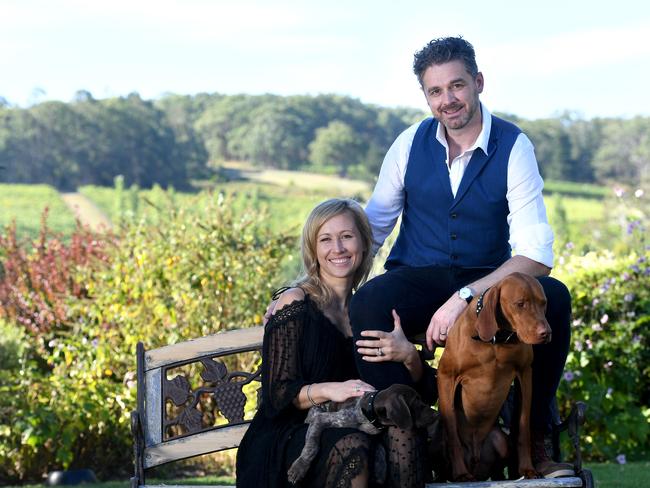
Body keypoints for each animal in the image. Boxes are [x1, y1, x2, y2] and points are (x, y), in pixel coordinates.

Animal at [286, 386, 432, 484]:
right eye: (417, 402)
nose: (435, 414)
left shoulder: (375, 437)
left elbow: (381, 450)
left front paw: (380, 469)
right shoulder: (321, 419)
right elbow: (312, 447)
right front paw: (299, 467)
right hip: (316, 412)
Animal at [432, 272, 548, 482]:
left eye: (543, 303)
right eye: (520, 304)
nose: (546, 333)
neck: (496, 339)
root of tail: (475, 459)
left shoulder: (525, 374)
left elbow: (523, 426)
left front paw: (527, 469)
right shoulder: (446, 377)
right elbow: (452, 434)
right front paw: (461, 473)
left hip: (498, 439)